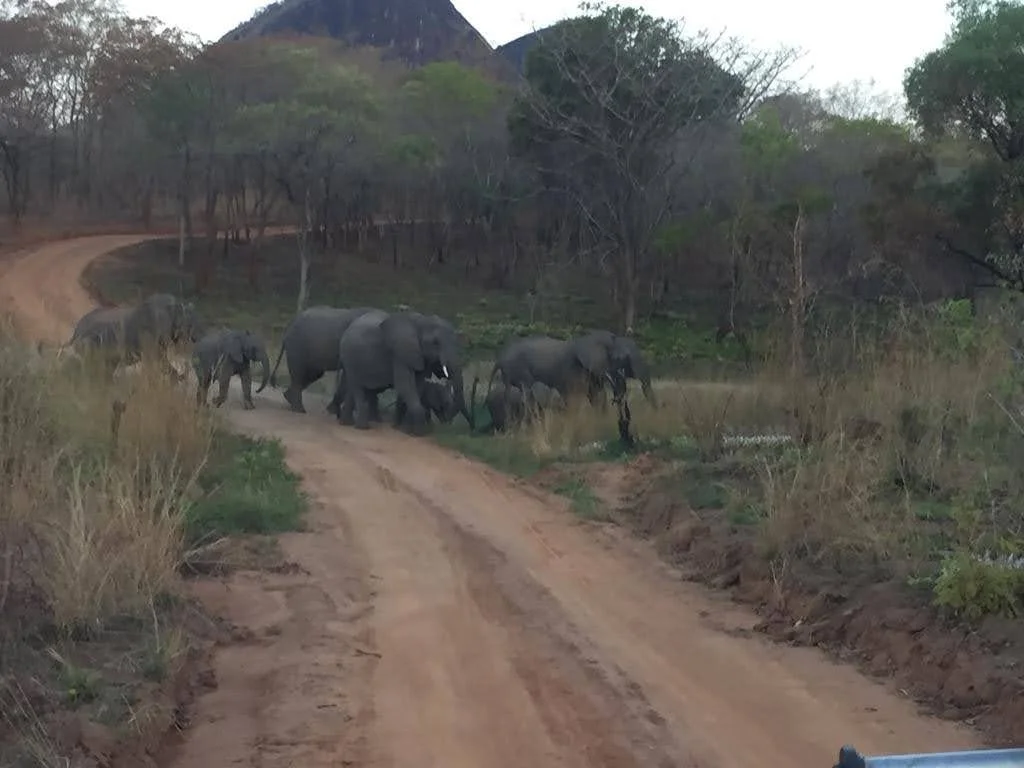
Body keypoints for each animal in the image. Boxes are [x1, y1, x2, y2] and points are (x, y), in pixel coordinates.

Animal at [61, 293, 202, 379]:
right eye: (189, 323)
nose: (195, 339)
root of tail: (75, 330)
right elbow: (159, 360)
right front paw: (178, 377)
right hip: (91, 343)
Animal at [334, 309, 475, 435]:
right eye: (435, 343)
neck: (421, 321)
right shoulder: (400, 353)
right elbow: (405, 384)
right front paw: (419, 433)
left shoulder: (421, 356)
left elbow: (418, 385)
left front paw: (404, 430)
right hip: (349, 358)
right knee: (357, 387)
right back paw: (361, 427)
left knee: (354, 388)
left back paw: (347, 423)